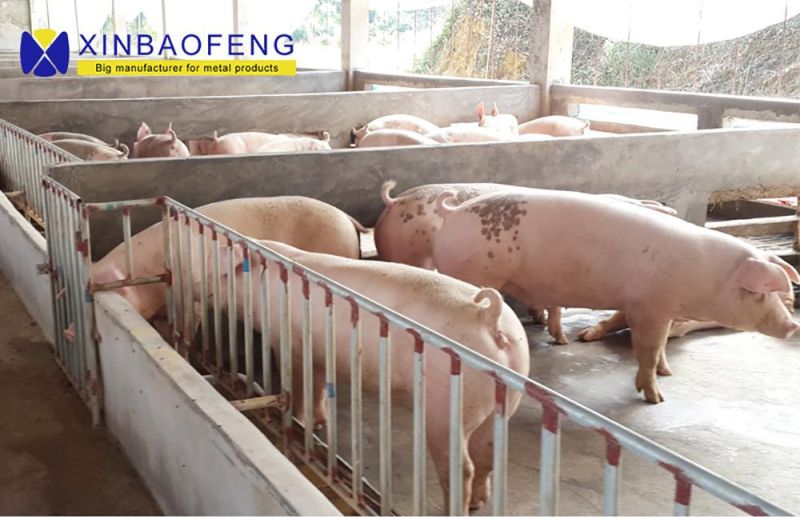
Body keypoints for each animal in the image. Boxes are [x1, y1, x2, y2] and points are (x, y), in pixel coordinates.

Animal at [432, 189, 800, 404]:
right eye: (760, 293)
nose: (792, 326)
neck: (704, 275)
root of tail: (454, 212)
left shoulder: (665, 310)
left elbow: (661, 346)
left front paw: (668, 374)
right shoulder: (648, 306)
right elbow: (648, 350)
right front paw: (656, 398)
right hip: (472, 273)